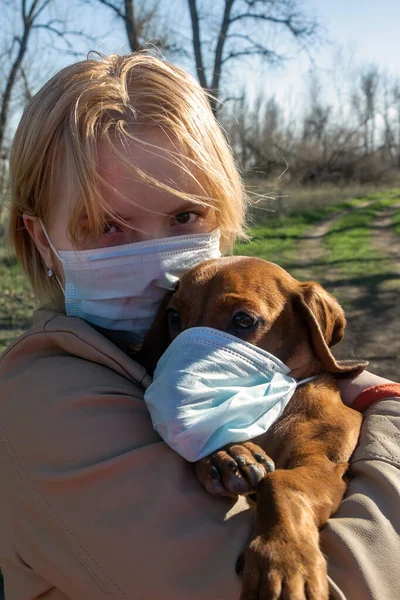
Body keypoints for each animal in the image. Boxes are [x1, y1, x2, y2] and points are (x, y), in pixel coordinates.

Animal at [138, 256, 366, 600]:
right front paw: (226, 454)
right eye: (174, 315)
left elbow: (279, 482)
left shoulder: (325, 465)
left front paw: (284, 558)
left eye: (243, 320)